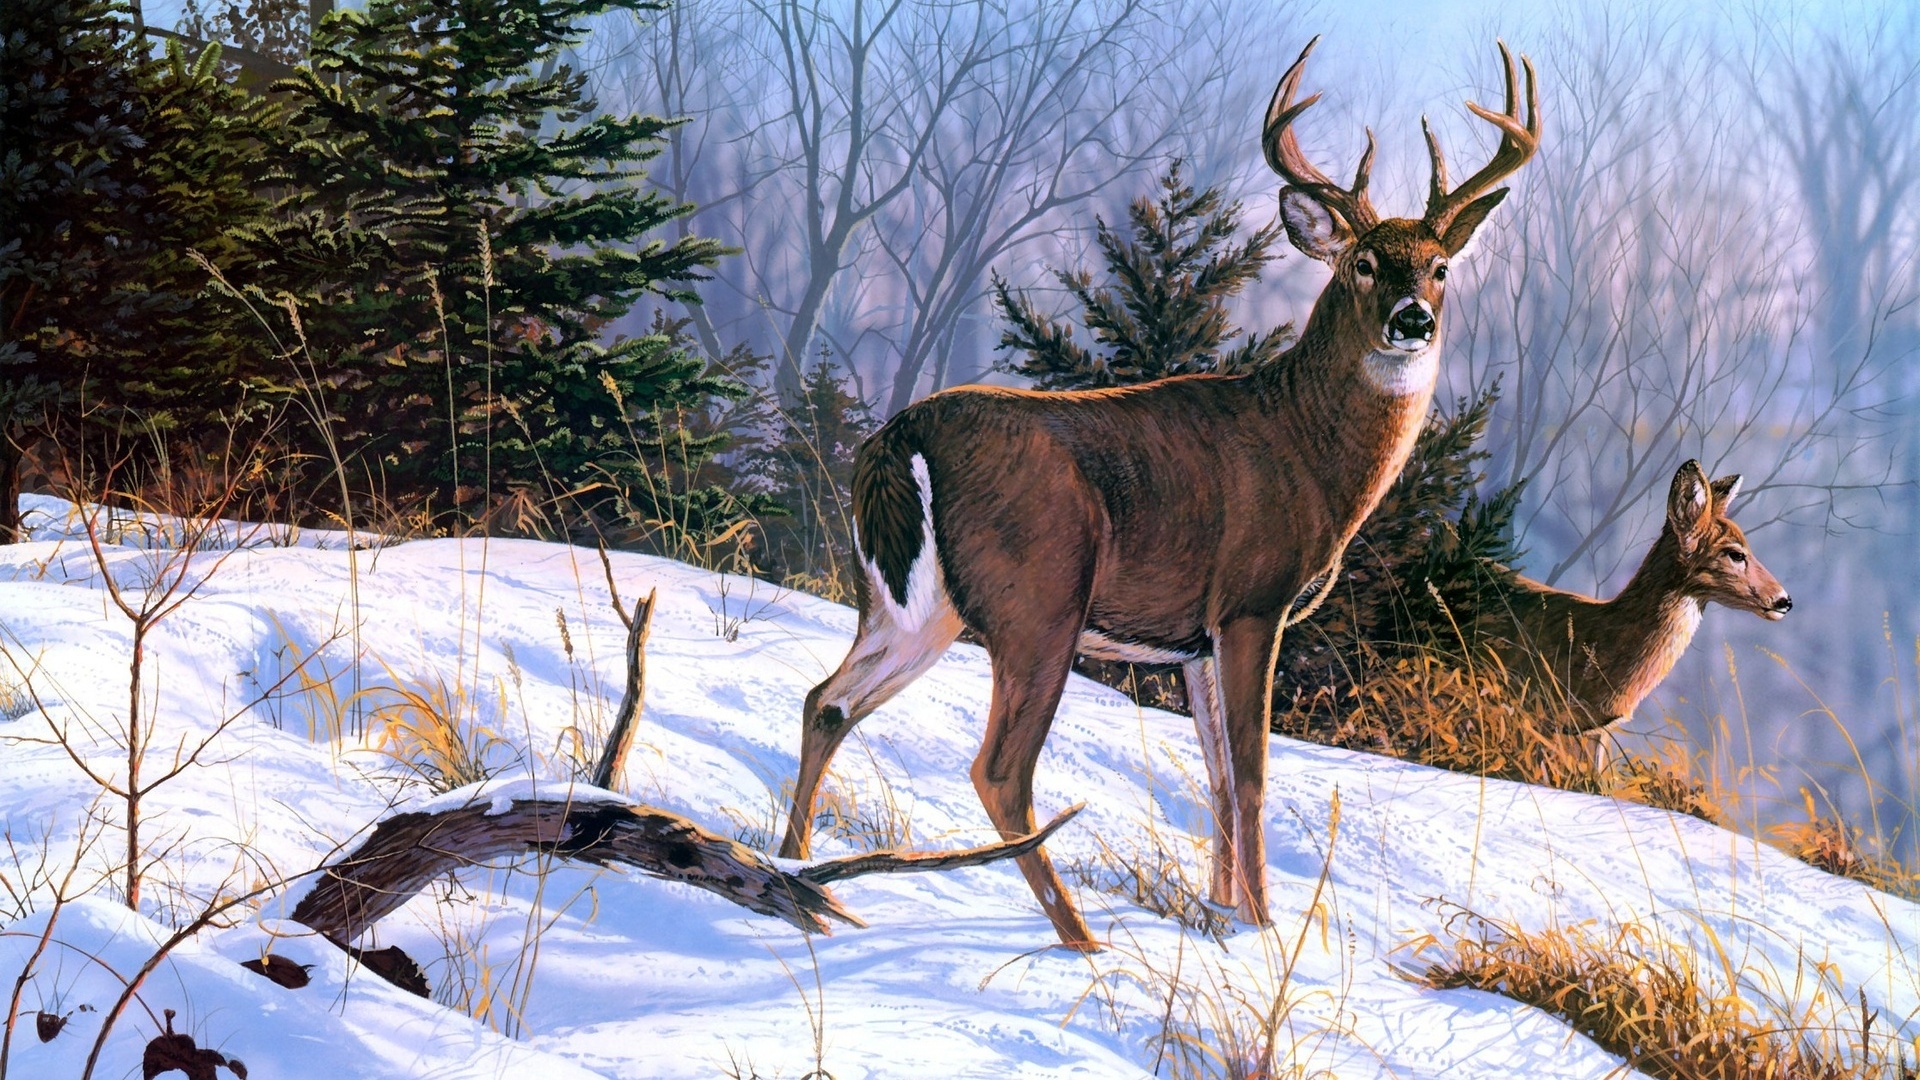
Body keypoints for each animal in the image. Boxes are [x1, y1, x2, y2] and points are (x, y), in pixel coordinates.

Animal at [777, 37, 1542, 950]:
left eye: (1439, 267)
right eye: (1362, 263)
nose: (1412, 320)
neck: (1309, 452)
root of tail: (901, 436)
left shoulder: (1195, 642)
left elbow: (1216, 778)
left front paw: (1225, 915)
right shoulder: (1251, 602)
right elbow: (1251, 773)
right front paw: (1263, 931)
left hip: (915, 606)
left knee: (826, 701)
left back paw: (795, 872)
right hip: (1039, 601)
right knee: (998, 770)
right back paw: (1079, 939)